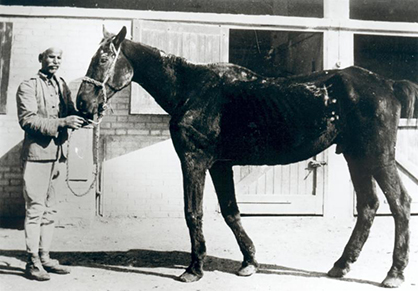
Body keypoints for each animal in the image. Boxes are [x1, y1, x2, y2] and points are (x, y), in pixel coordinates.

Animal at [76, 26, 418, 288]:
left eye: (104, 58)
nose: (82, 102)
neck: (194, 90)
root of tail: (387, 84)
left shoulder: (194, 161)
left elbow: (193, 212)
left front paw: (194, 269)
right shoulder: (220, 166)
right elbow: (231, 213)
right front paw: (249, 262)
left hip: (377, 156)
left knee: (399, 203)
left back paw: (393, 274)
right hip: (356, 157)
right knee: (369, 206)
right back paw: (341, 265)